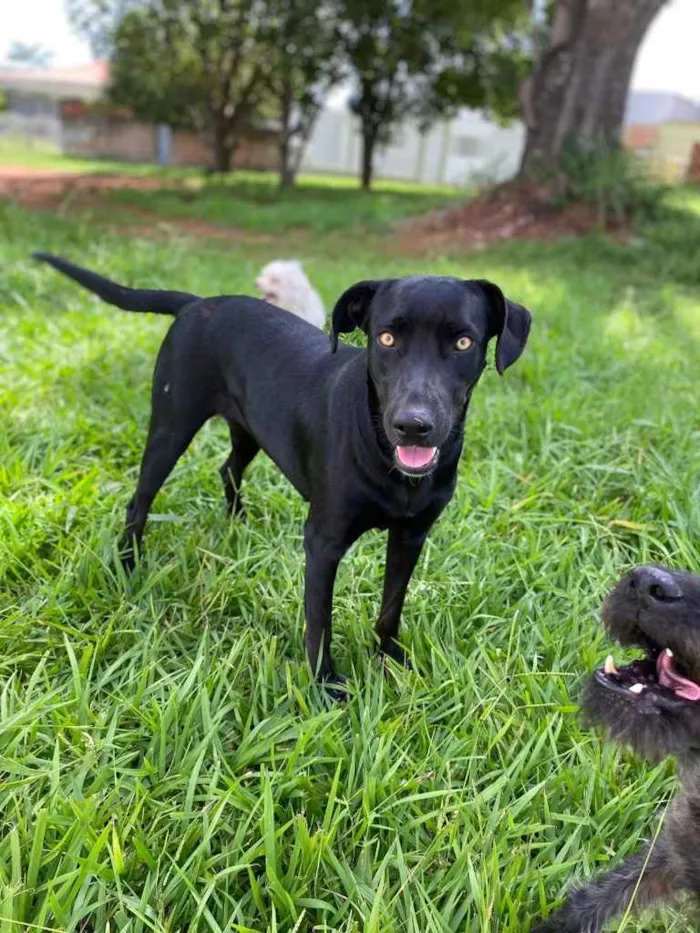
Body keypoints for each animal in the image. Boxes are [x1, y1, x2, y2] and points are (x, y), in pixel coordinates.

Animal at [30, 251, 528, 696]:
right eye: (385, 339)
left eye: (463, 343)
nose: (413, 425)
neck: (387, 459)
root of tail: (197, 302)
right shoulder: (323, 542)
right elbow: (320, 621)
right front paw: (324, 685)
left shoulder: (411, 535)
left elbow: (391, 606)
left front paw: (389, 659)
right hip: (171, 426)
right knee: (140, 499)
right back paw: (129, 564)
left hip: (250, 429)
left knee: (227, 469)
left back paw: (237, 522)